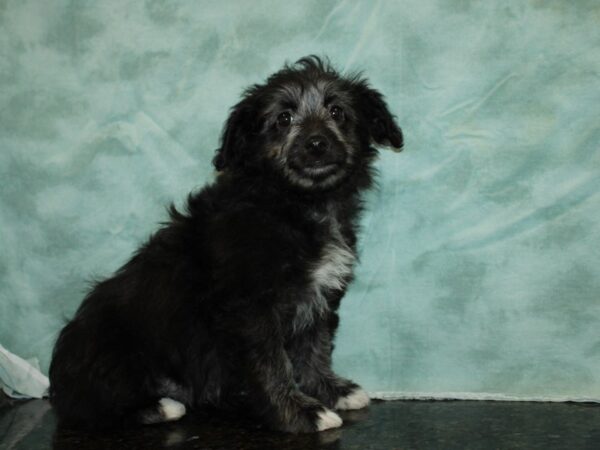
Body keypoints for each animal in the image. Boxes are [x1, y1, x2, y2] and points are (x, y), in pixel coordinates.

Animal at [48, 56, 404, 432]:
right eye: (283, 119)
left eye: (337, 112)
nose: (317, 144)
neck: (294, 203)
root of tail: (60, 383)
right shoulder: (250, 308)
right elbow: (272, 364)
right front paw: (299, 413)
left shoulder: (318, 296)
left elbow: (314, 348)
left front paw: (329, 390)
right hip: (114, 352)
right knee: (91, 407)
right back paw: (159, 406)